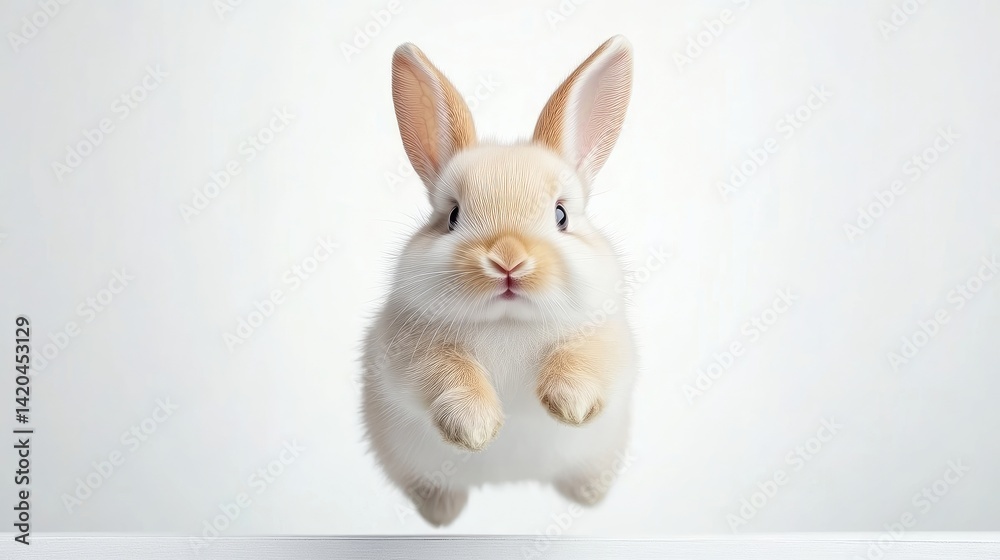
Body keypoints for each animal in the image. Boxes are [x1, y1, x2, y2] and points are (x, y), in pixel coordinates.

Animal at [361, 35, 638, 527]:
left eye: (561, 215)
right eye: (453, 216)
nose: (508, 260)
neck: (508, 322)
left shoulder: (607, 336)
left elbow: (584, 357)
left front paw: (572, 404)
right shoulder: (405, 350)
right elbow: (445, 372)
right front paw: (475, 429)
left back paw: (588, 495)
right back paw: (442, 513)